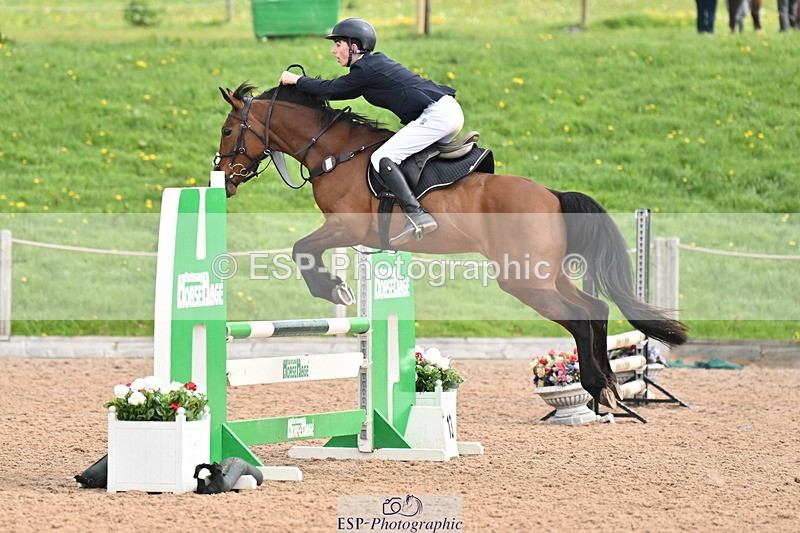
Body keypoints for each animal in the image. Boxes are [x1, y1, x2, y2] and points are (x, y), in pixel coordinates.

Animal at [213, 82, 688, 410]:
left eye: (227, 130)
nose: (225, 181)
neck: (334, 154)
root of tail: (552, 195)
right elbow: (304, 250)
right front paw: (335, 287)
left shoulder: (345, 227)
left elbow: (301, 249)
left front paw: (332, 288)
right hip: (543, 274)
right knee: (597, 308)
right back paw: (609, 385)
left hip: (523, 281)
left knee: (578, 318)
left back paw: (595, 386)